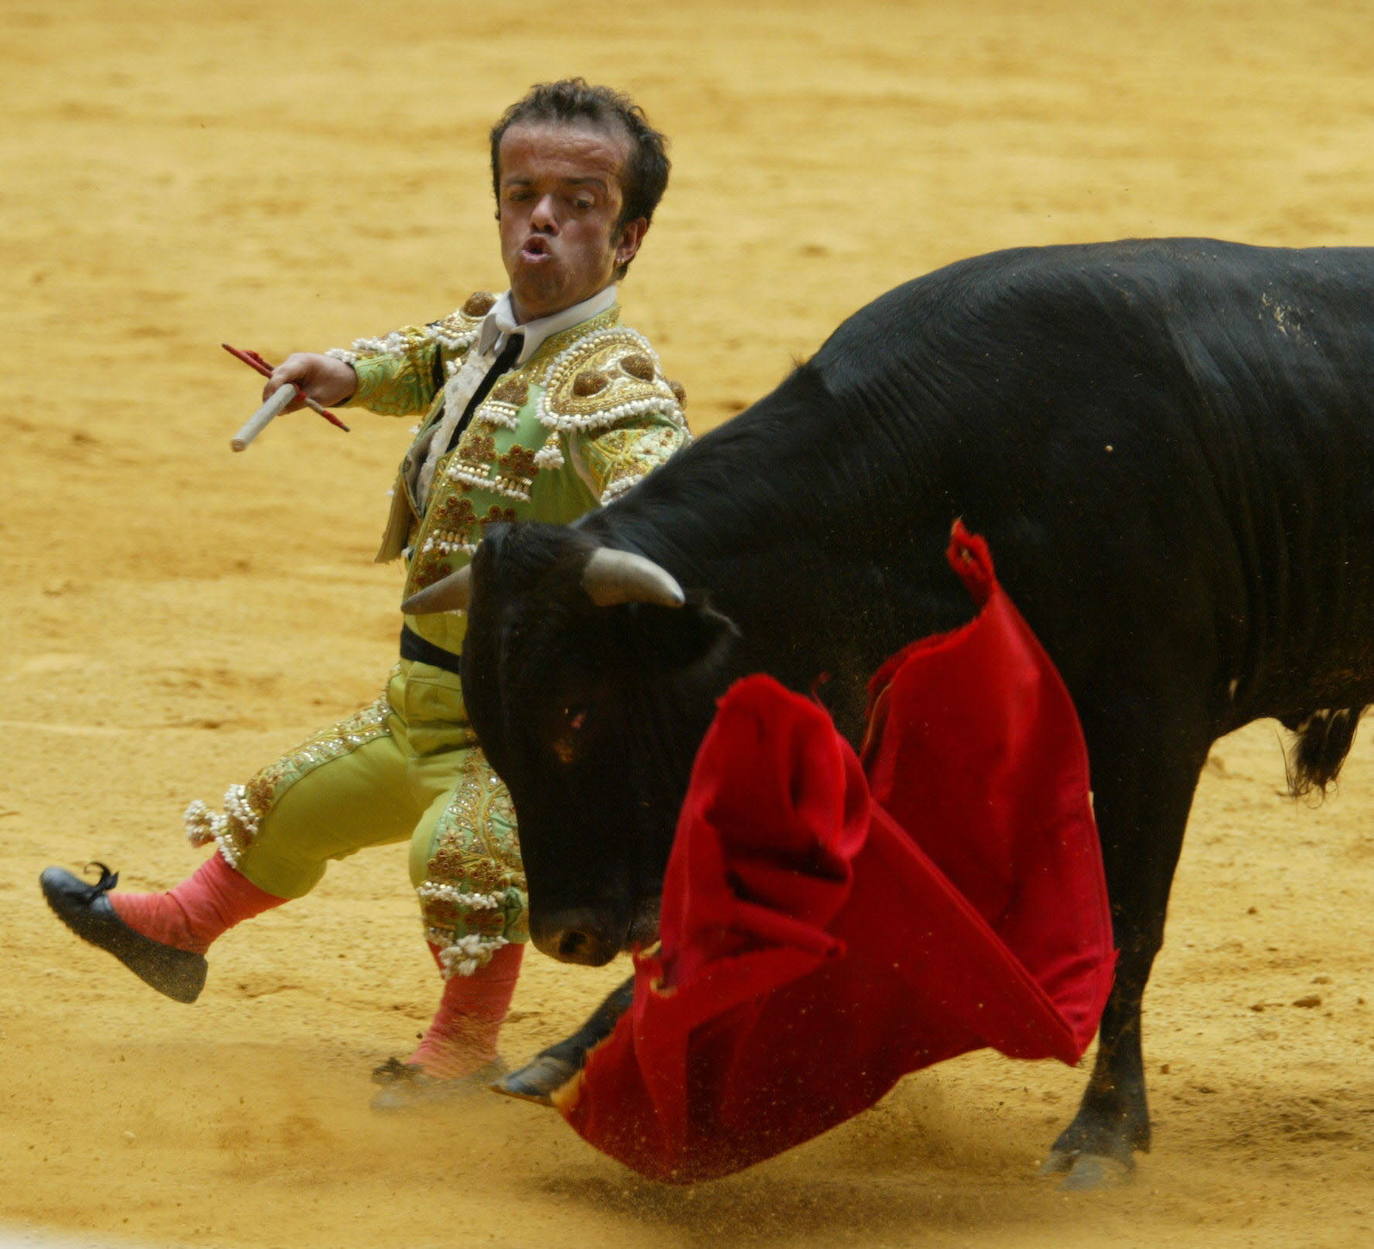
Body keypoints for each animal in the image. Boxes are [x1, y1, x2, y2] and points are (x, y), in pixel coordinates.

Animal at [409, 236, 1374, 1181]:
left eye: (576, 712)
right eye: (491, 731)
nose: (563, 933)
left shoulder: (1155, 723)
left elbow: (1133, 923)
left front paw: (1102, 1132)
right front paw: (567, 1057)